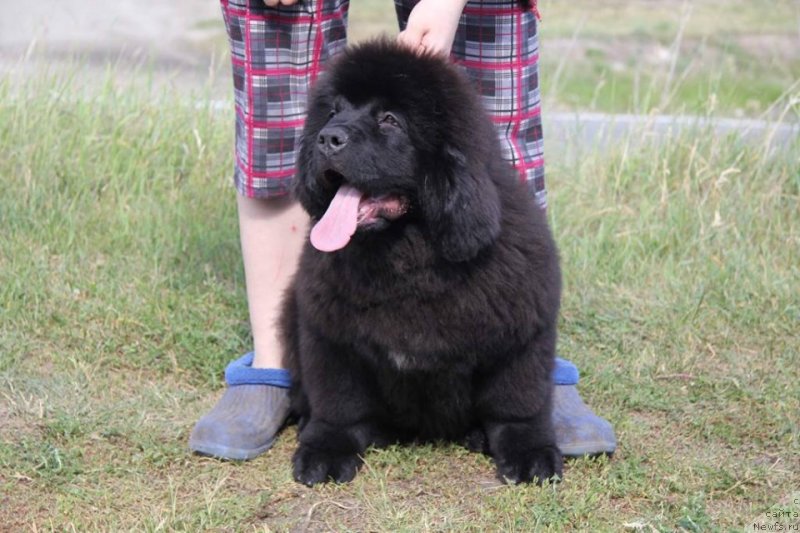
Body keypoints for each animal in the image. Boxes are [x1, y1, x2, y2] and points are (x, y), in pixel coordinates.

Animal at [282, 39, 564, 484]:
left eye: (390, 120)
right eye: (333, 111)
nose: (327, 138)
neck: (406, 256)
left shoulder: (521, 336)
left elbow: (518, 404)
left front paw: (530, 453)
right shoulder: (329, 336)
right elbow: (339, 404)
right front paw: (325, 449)